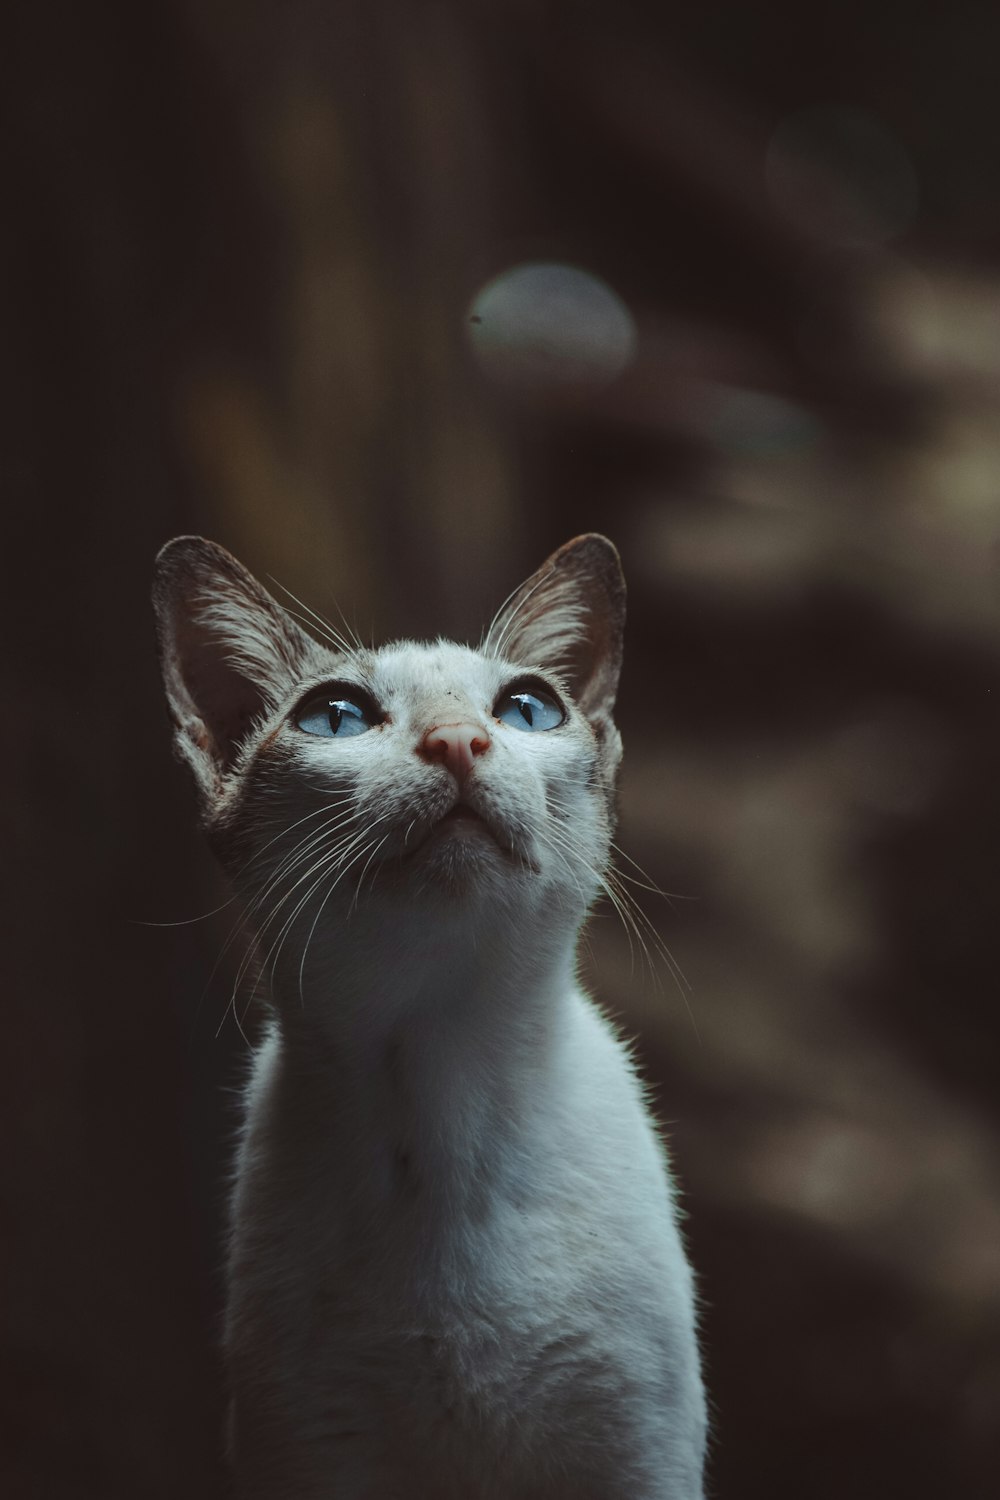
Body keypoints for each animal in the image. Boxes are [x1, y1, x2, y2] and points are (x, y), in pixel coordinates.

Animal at [152, 534, 707, 1494]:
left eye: (528, 709)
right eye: (336, 718)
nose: (457, 741)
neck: (445, 1094)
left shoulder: (638, 1454)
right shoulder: (311, 1447)